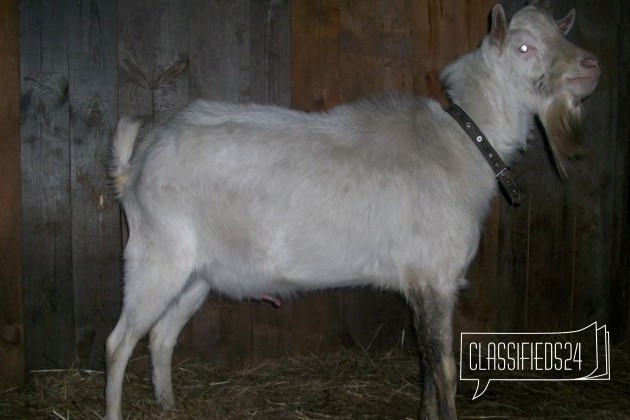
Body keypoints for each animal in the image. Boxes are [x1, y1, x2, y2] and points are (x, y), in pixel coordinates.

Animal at [106, 4, 600, 420]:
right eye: (524, 47)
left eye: (561, 33)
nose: (591, 66)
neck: (464, 145)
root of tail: (135, 165)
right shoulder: (436, 277)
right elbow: (443, 366)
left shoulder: (418, 282)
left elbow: (424, 359)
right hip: (156, 257)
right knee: (118, 343)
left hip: (197, 272)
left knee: (161, 337)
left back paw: (168, 406)